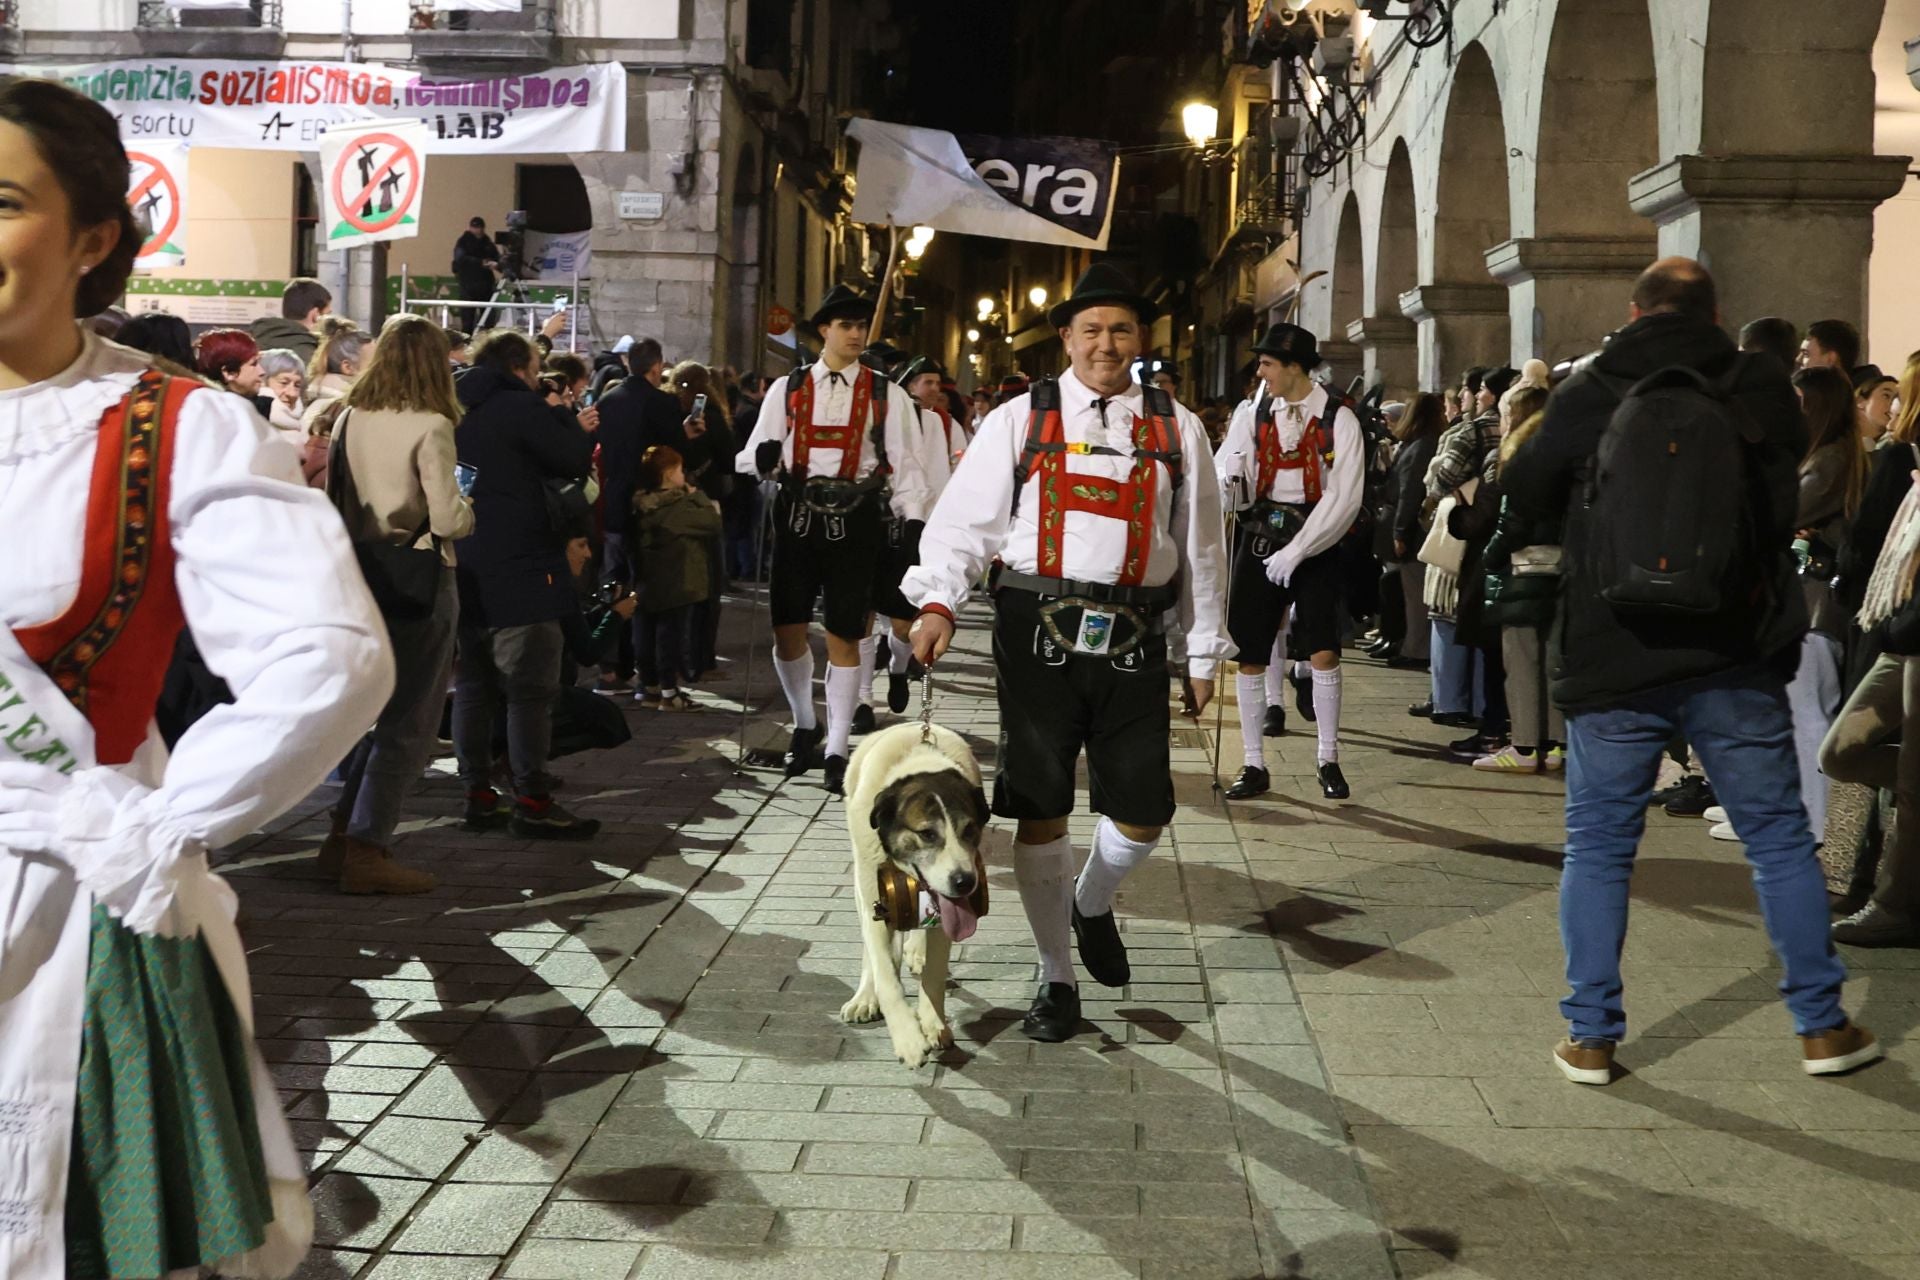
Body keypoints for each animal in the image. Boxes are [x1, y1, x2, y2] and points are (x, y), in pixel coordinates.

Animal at [840, 725, 990, 1066]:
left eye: (969, 829)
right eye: (927, 834)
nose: (965, 882)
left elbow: (934, 971)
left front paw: (933, 1023)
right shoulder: (873, 887)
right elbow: (885, 973)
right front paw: (908, 1038)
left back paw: (916, 951)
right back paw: (865, 996)